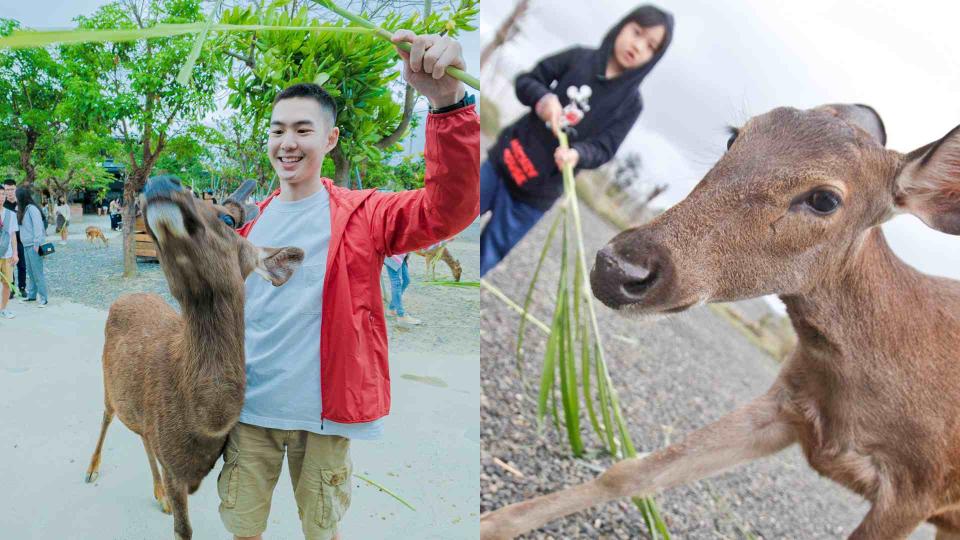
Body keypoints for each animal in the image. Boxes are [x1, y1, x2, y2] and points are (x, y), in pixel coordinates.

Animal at [86, 177, 306, 540]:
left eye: (228, 219)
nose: (162, 181)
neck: (205, 422)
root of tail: (127, 295)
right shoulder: (175, 469)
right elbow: (183, 530)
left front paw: (163, 496)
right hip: (106, 379)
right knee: (106, 415)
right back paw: (91, 469)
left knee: (142, 436)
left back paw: (157, 494)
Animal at [480, 105, 960, 540]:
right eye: (734, 137)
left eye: (825, 199)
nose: (618, 268)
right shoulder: (786, 403)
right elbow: (633, 472)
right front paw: (493, 524)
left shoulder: (919, 489)